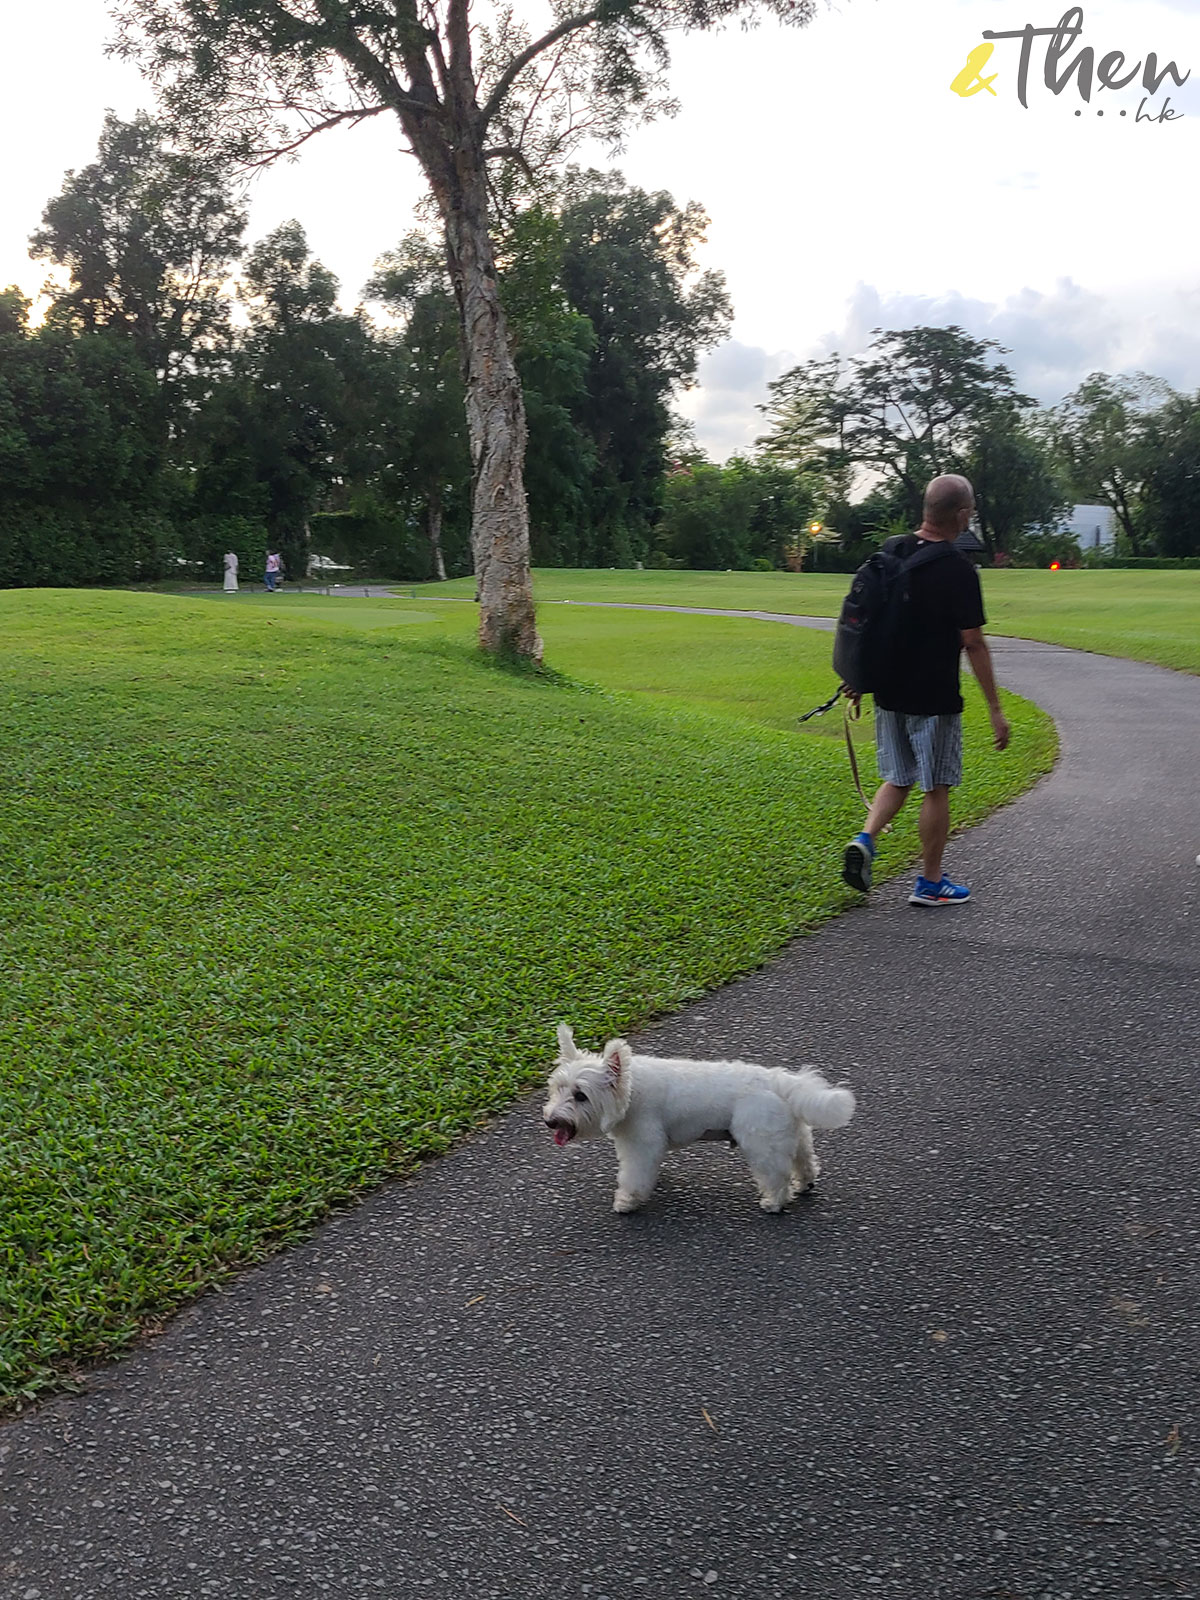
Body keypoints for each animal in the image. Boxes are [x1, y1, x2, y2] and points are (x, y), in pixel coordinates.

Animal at [544, 1024, 857, 1209]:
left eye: (581, 1095)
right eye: (557, 1088)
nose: (550, 1121)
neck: (632, 1090)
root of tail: (780, 1081)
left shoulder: (641, 1145)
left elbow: (633, 1175)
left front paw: (627, 1201)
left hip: (762, 1144)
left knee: (775, 1174)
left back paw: (774, 1203)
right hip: (793, 1134)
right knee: (804, 1161)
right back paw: (803, 1184)